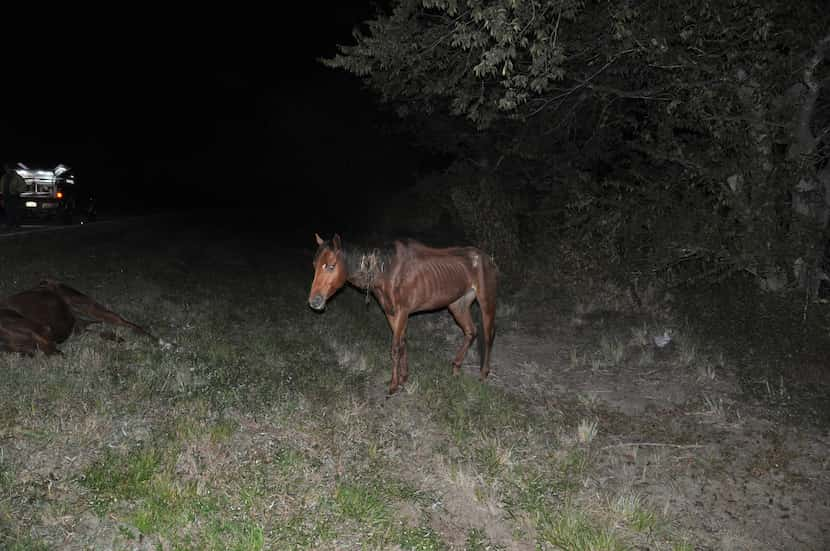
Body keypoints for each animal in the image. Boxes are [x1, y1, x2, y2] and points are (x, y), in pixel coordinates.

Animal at [0, 278, 157, 356]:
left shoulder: (44, 332)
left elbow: (55, 353)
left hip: (88, 305)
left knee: (126, 323)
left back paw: (155, 340)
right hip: (81, 320)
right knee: (99, 329)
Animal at [308, 235, 498, 394]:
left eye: (331, 266)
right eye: (314, 266)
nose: (314, 302)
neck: (386, 270)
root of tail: (488, 258)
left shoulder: (402, 312)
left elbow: (395, 348)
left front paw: (393, 385)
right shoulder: (391, 313)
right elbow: (403, 343)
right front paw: (404, 378)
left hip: (486, 302)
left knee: (488, 336)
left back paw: (483, 374)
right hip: (458, 304)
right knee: (471, 332)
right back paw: (457, 367)